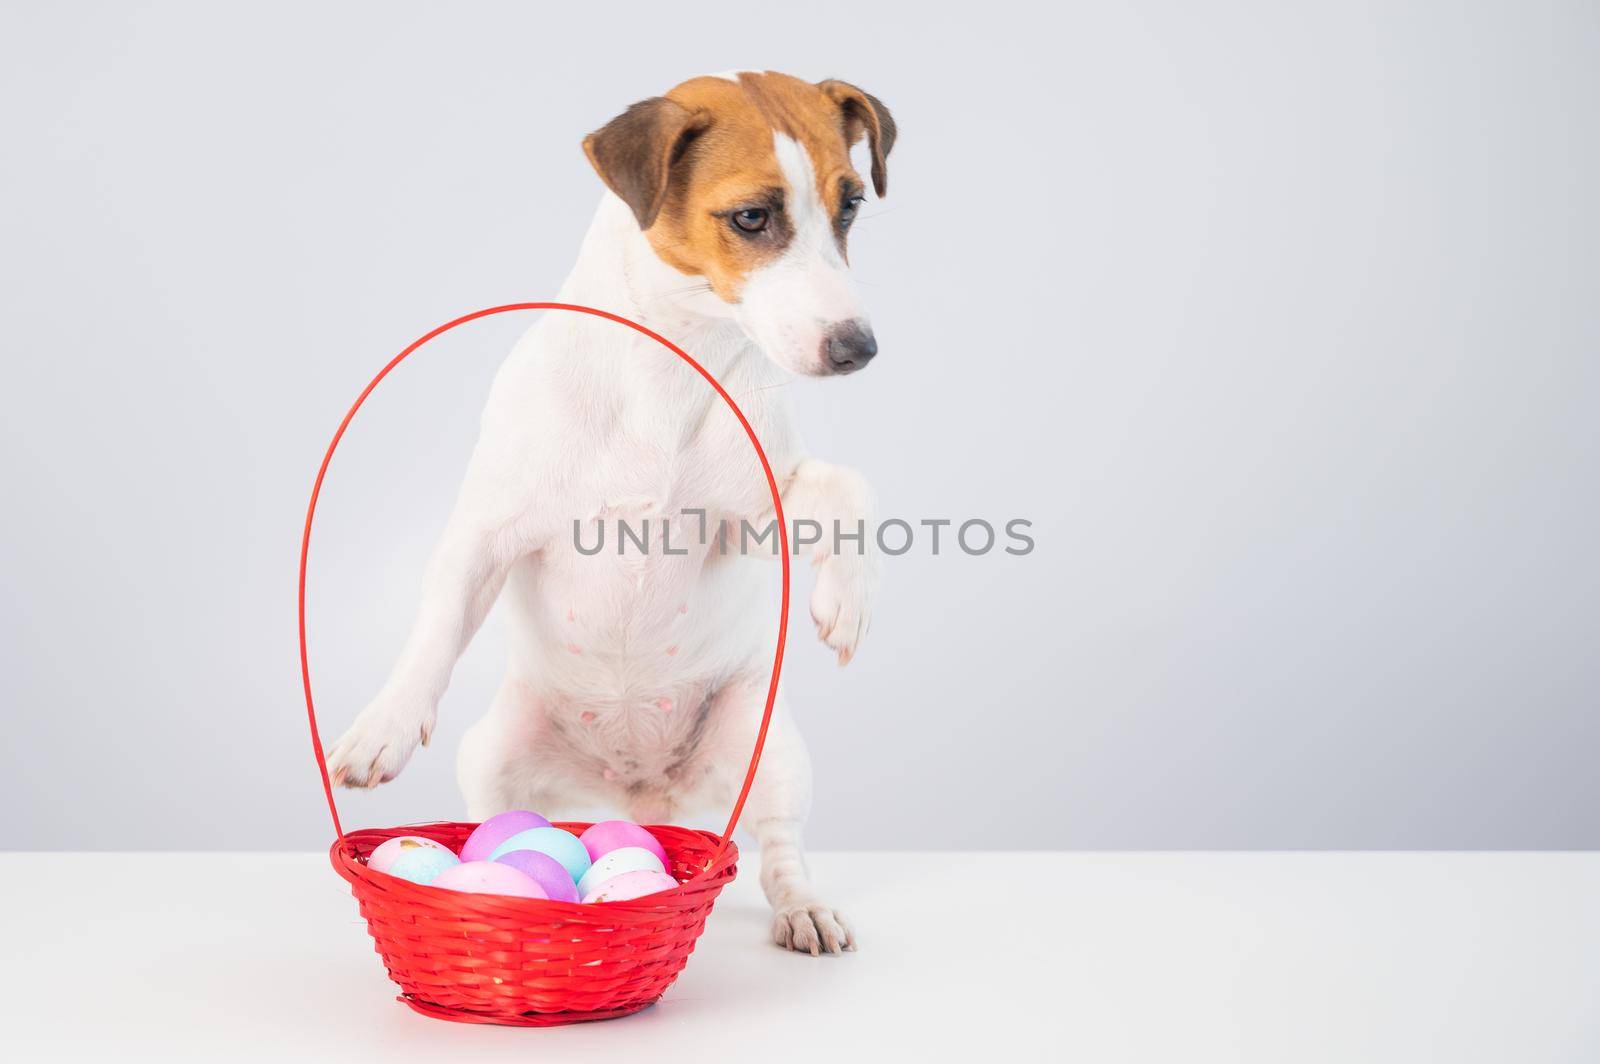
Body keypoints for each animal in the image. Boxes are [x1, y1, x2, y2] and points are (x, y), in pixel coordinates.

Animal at [329, 74, 896, 953]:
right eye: (752, 217)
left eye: (852, 205)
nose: (858, 347)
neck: (670, 363)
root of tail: (642, 792)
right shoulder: (487, 532)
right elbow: (436, 626)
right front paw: (383, 725)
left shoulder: (756, 512)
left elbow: (846, 484)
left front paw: (848, 599)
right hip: (492, 752)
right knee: (498, 815)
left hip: (770, 750)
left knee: (779, 848)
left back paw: (801, 908)